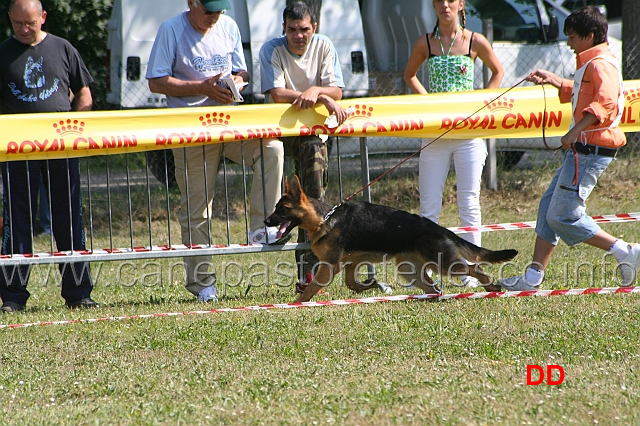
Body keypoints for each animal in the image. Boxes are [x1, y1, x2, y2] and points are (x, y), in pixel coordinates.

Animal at [264, 176, 520, 302]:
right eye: (275, 207)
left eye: (283, 209)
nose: (266, 222)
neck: (325, 219)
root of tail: (439, 228)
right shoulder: (350, 263)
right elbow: (352, 283)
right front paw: (372, 285)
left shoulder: (329, 267)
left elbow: (310, 289)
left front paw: (295, 305)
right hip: (409, 270)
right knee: (434, 286)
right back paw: (431, 298)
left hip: (445, 265)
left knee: (476, 268)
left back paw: (491, 286)